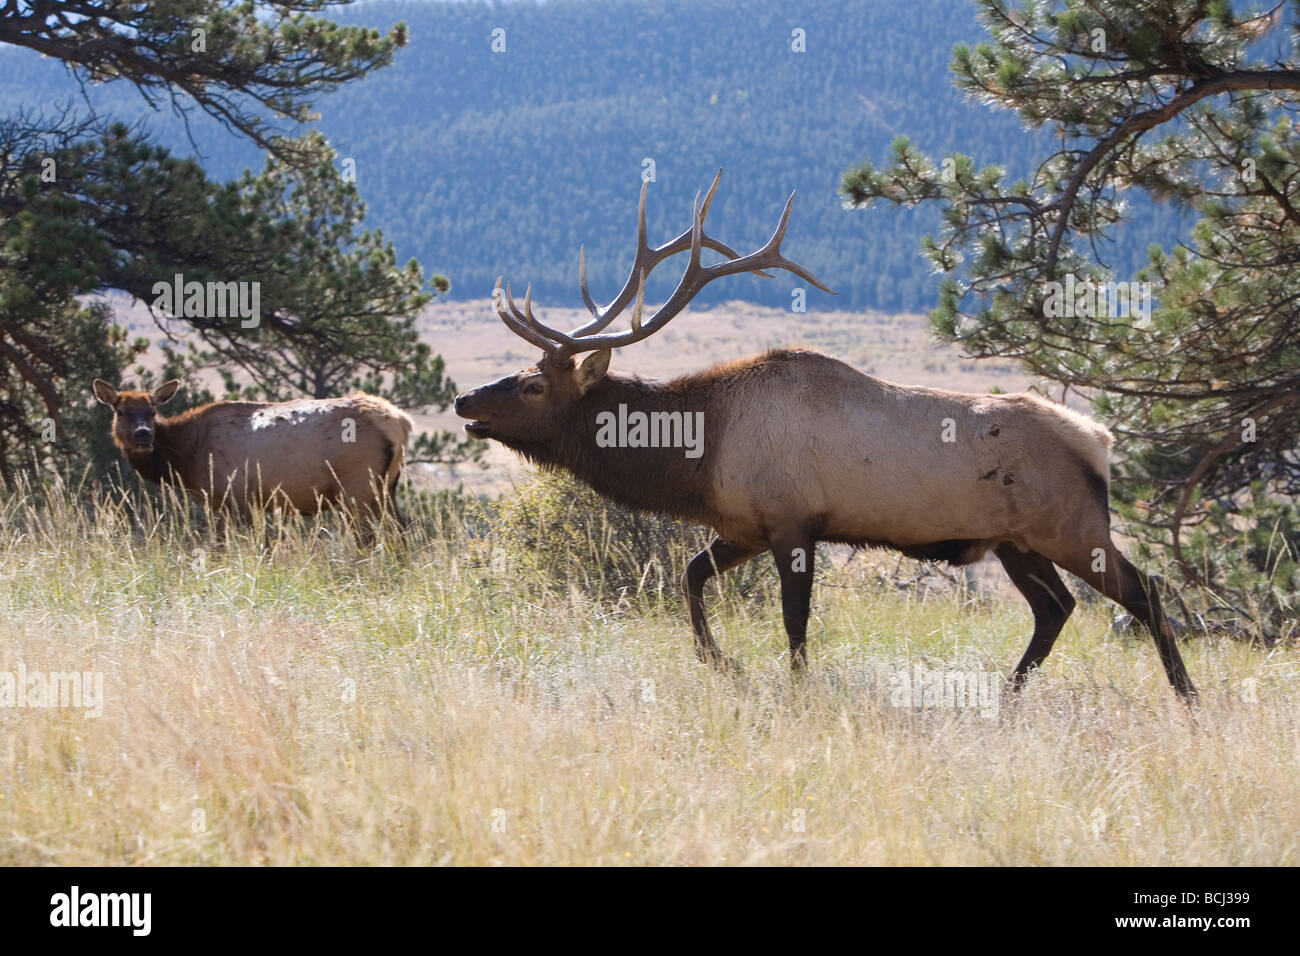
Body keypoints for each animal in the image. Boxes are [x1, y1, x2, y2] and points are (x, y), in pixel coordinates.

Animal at [93, 379, 412, 540]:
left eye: (152, 411)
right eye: (120, 411)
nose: (143, 435)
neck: (187, 456)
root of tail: (401, 422)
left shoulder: (233, 496)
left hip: (357, 486)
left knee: (368, 538)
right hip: (386, 487)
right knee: (402, 531)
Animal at [453, 171, 1197, 702]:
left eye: (532, 385)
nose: (464, 399)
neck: (699, 454)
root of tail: (1099, 440)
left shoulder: (793, 522)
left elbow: (794, 623)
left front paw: (793, 687)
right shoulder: (745, 525)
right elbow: (690, 577)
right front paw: (718, 662)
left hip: (1071, 526)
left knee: (1145, 591)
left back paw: (1187, 698)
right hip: (1016, 542)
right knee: (1056, 609)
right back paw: (1010, 697)